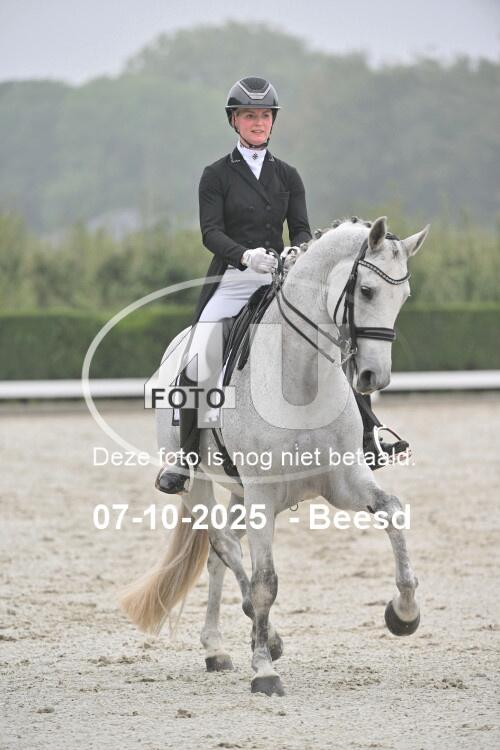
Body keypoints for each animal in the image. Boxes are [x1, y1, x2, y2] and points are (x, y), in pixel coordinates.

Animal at [121, 216, 430, 697]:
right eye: (366, 291)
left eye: (405, 296)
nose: (373, 377)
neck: (301, 381)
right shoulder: (263, 497)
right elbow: (265, 582)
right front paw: (265, 670)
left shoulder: (345, 482)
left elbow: (393, 513)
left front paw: (403, 613)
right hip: (201, 488)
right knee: (225, 546)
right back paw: (253, 641)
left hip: (241, 494)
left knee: (218, 557)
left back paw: (220, 647)